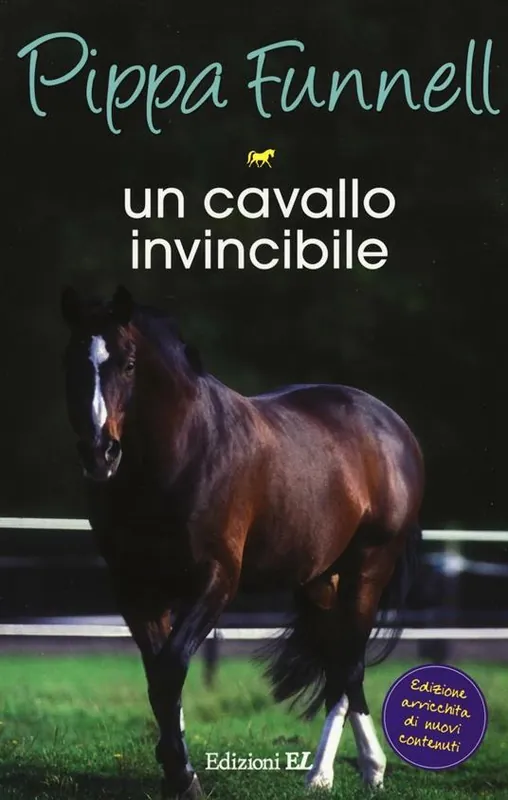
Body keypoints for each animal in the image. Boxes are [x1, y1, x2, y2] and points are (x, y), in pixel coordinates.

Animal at [60, 285, 424, 800]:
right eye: (71, 360)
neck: (181, 455)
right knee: (337, 664)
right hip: (319, 580)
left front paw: (183, 776)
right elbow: (157, 676)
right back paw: (331, 772)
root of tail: (392, 426)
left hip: (369, 569)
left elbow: (171, 669)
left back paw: (355, 769)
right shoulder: (135, 586)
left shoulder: (215, 581)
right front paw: (175, 766)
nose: (99, 453)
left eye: (129, 363)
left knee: (349, 664)